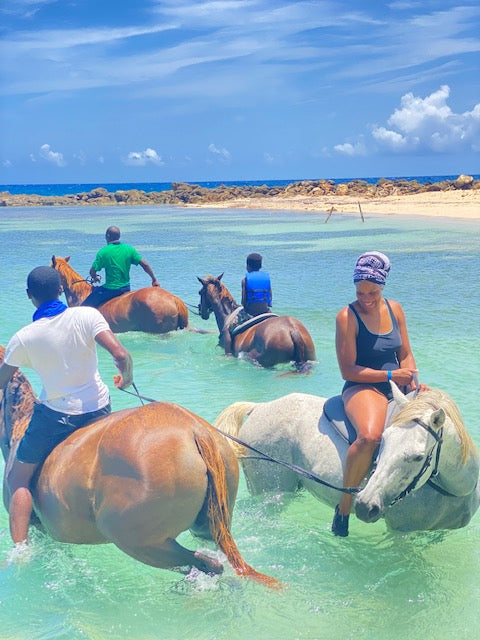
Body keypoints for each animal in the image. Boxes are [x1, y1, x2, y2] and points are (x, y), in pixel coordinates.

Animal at [0, 348, 278, 588]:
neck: (20, 422)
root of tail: (194, 429)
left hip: (137, 541)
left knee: (203, 563)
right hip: (208, 526)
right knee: (211, 560)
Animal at [215, 384, 480, 528]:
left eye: (417, 457)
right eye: (382, 441)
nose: (365, 505)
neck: (456, 488)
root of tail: (259, 407)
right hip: (269, 488)